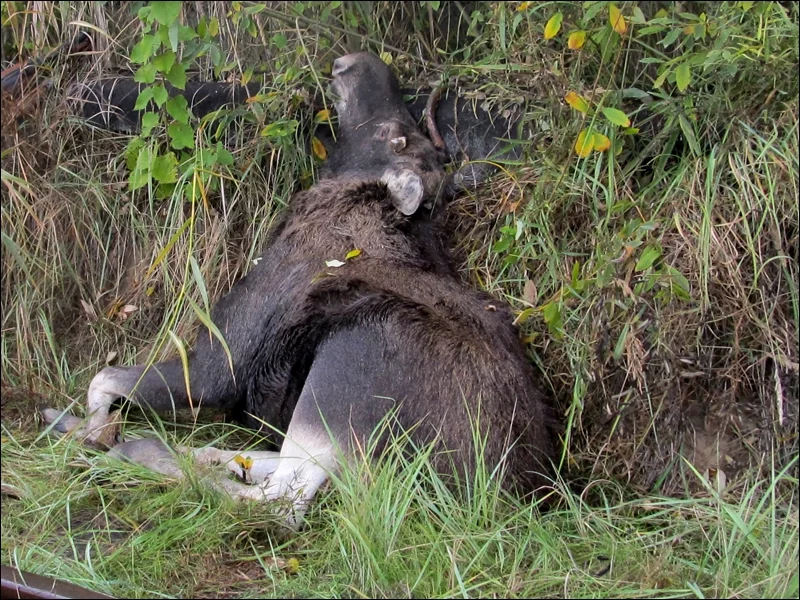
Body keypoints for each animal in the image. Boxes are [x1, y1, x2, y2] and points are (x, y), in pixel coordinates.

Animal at [42, 54, 556, 528]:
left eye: (392, 133)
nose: (355, 62)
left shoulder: (218, 365)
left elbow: (103, 380)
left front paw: (92, 432)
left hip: (348, 366)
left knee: (282, 503)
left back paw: (144, 452)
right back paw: (203, 454)